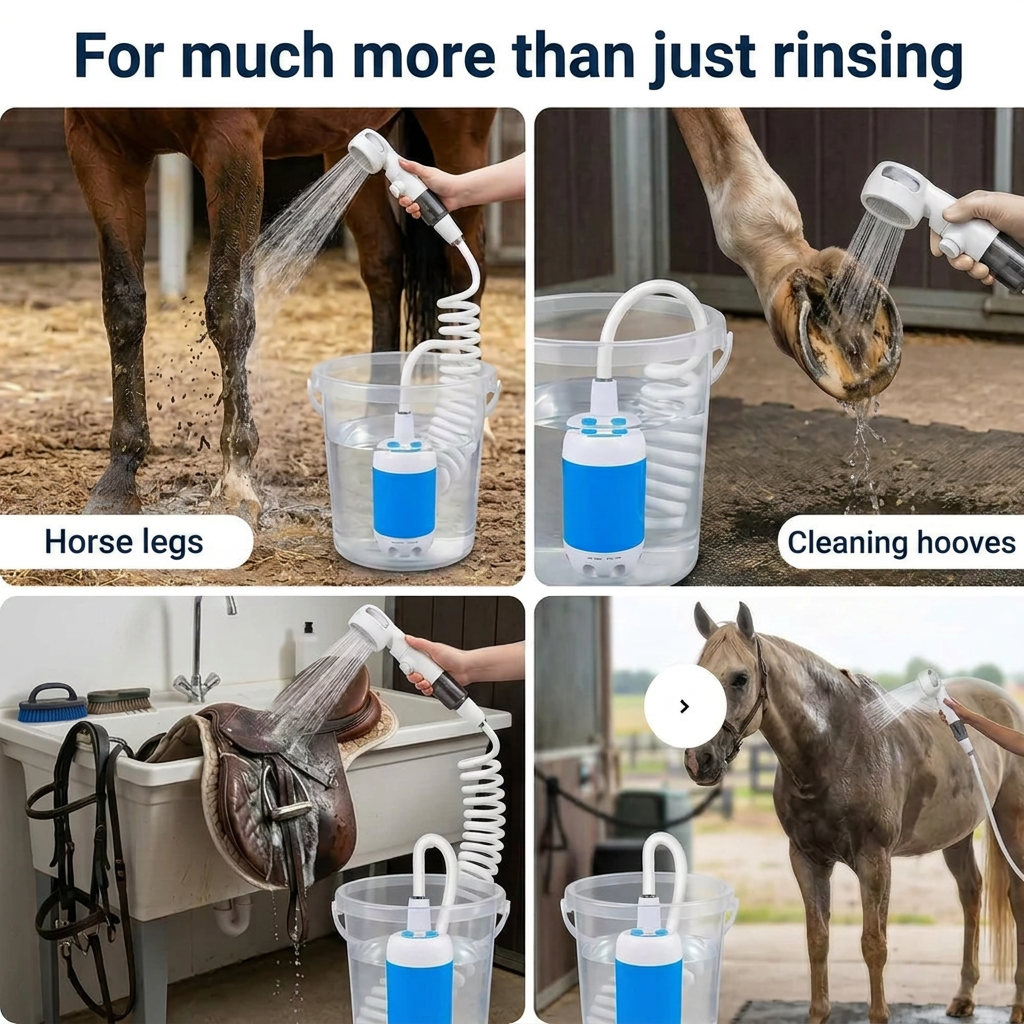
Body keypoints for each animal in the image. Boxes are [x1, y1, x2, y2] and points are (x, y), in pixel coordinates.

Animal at [64, 107, 495, 522]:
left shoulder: (233, 141)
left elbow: (228, 307)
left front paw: (236, 484)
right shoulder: (97, 144)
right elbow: (123, 307)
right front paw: (117, 481)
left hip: (459, 134)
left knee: (466, 262)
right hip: (351, 147)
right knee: (384, 262)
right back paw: (379, 408)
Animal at [685, 601, 1024, 1024]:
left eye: (740, 678)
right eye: (697, 671)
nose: (699, 760)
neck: (836, 747)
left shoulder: (874, 860)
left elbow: (873, 943)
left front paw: (879, 1015)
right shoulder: (807, 859)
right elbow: (817, 940)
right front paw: (818, 1014)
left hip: (1010, 824)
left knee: (1016, 900)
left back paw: (1017, 1007)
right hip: (957, 835)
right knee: (971, 893)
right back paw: (963, 998)